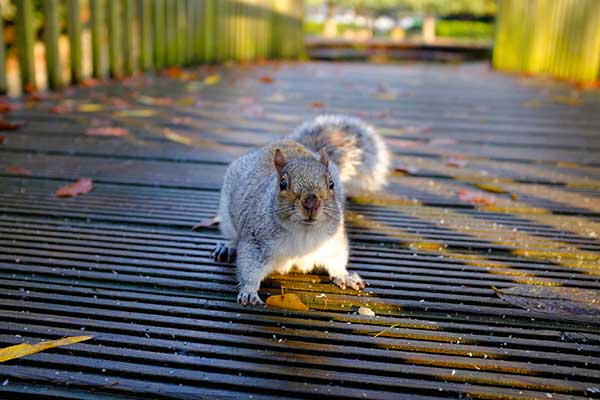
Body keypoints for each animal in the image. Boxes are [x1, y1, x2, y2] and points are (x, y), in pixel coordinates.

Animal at [213, 114, 392, 304]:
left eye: (331, 184)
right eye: (282, 184)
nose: (311, 203)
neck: (304, 233)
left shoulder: (334, 242)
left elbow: (336, 261)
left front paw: (344, 275)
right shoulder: (256, 242)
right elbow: (249, 269)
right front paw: (249, 291)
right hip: (227, 216)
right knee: (233, 235)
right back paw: (228, 246)